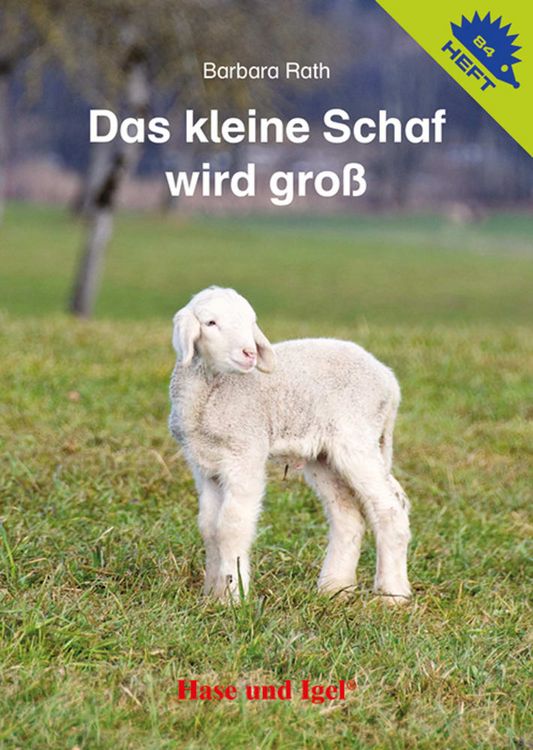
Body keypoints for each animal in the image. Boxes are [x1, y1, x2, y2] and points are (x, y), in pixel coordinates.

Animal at [169, 286, 411, 603]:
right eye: (211, 323)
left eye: (250, 322)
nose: (249, 353)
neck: (212, 394)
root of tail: (390, 382)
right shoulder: (205, 466)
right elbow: (209, 527)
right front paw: (213, 595)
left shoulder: (245, 454)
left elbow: (231, 527)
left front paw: (235, 597)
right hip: (325, 457)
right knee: (348, 516)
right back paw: (335, 589)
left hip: (356, 439)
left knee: (390, 508)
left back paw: (392, 596)